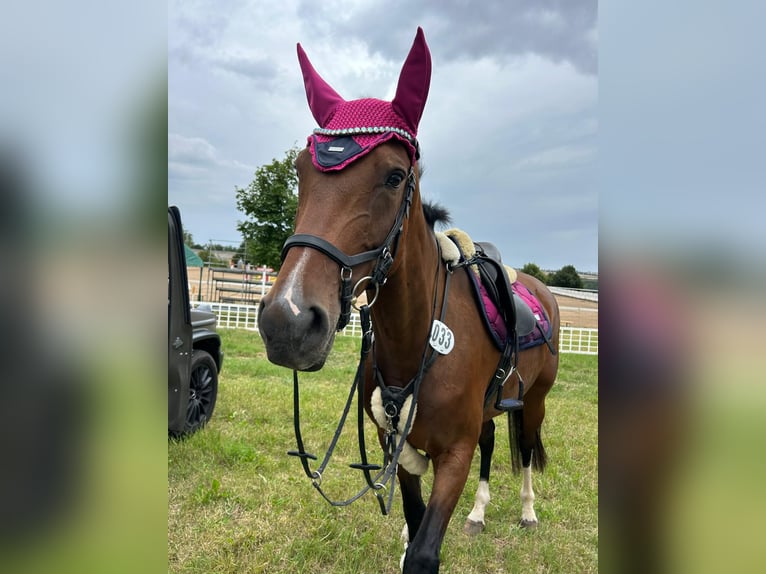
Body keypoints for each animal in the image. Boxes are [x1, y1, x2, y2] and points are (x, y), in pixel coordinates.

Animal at [258, 27, 560, 573]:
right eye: (299, 172)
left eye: (394, 175)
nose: (288, 320)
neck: (417, 337)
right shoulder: (395, 445)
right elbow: (415, 524)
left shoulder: (454, 454)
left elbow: (422, 553)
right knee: (492, 445)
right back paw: (479, 513)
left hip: (536, 400)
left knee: (525, 449)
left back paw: (527, 511)